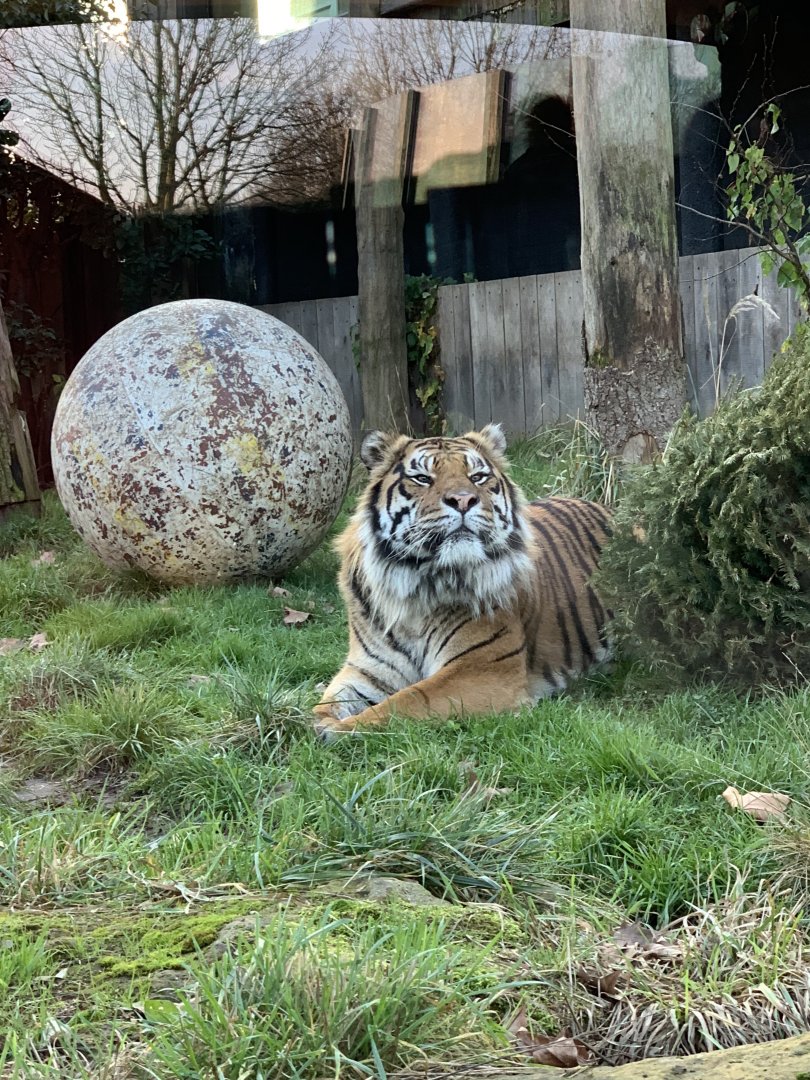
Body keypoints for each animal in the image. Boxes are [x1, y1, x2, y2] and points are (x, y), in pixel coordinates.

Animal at [313, 422, 612, 738]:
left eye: (477, 476)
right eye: (422, 478)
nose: (463, 500)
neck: (414, 588)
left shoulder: (482, 670)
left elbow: (407, 699)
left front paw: (340, 729)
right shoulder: (367, 669)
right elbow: (329, 700)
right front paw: (317, 721)